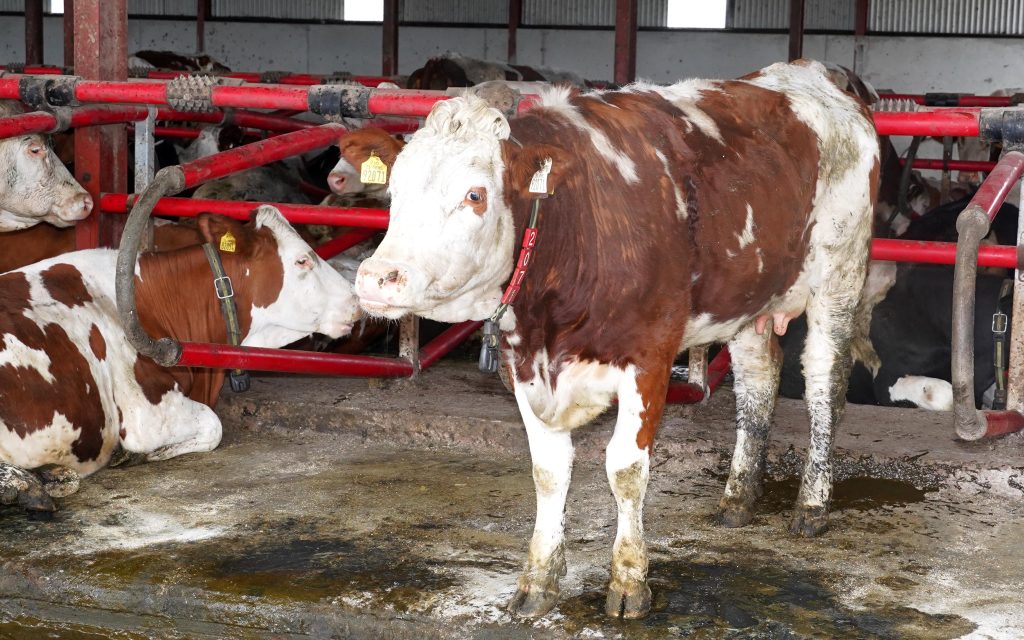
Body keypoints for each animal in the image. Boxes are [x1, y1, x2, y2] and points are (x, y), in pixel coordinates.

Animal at [0, 206, 360, 515]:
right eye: (302, 260)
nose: (357, 300)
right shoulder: (146, 414)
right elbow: (213, 425)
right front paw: (145, 453)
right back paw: (23, 485)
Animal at [355, 60, 880, 618]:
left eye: (474, 195)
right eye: (393, 192)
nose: (377, 278)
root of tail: (812, 73)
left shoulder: (649, 358)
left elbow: (625, 469)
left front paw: (629, 580)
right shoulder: (525, 365)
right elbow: (548, 471)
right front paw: (539, 577)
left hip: (839, 276)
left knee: (824, 384)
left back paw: (812, 503)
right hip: (749, 297)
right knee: (759, 381)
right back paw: (739, 497)